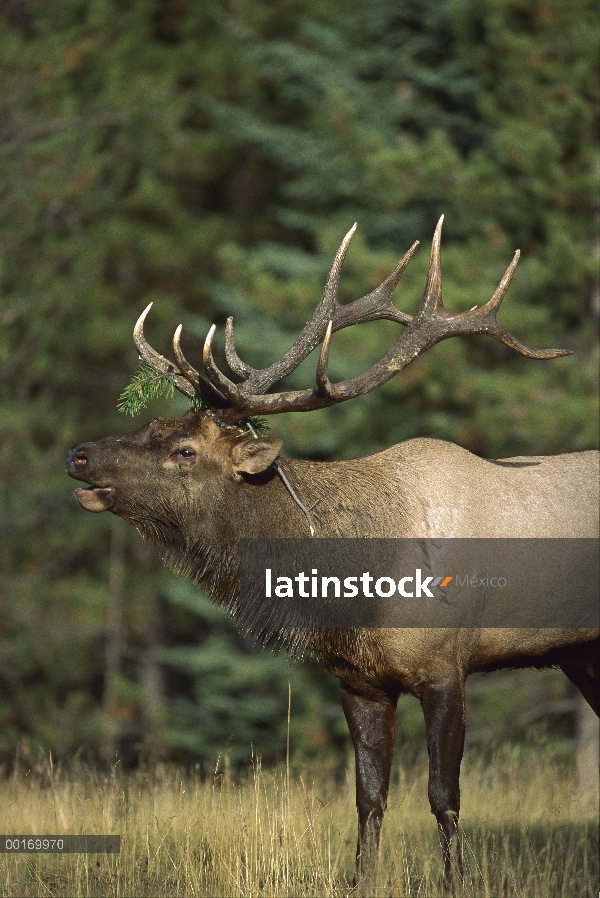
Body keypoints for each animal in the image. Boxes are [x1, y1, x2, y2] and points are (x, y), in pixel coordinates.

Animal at [67, 217, 600, 888]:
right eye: (150, 425)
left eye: (185, 450)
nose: (79, 454)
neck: (359, 588)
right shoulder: (358, 680)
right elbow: (369, 799)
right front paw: (362, 882)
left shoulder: (445, 666)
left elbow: (444, 797)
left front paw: (456, 883)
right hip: (582, 652)